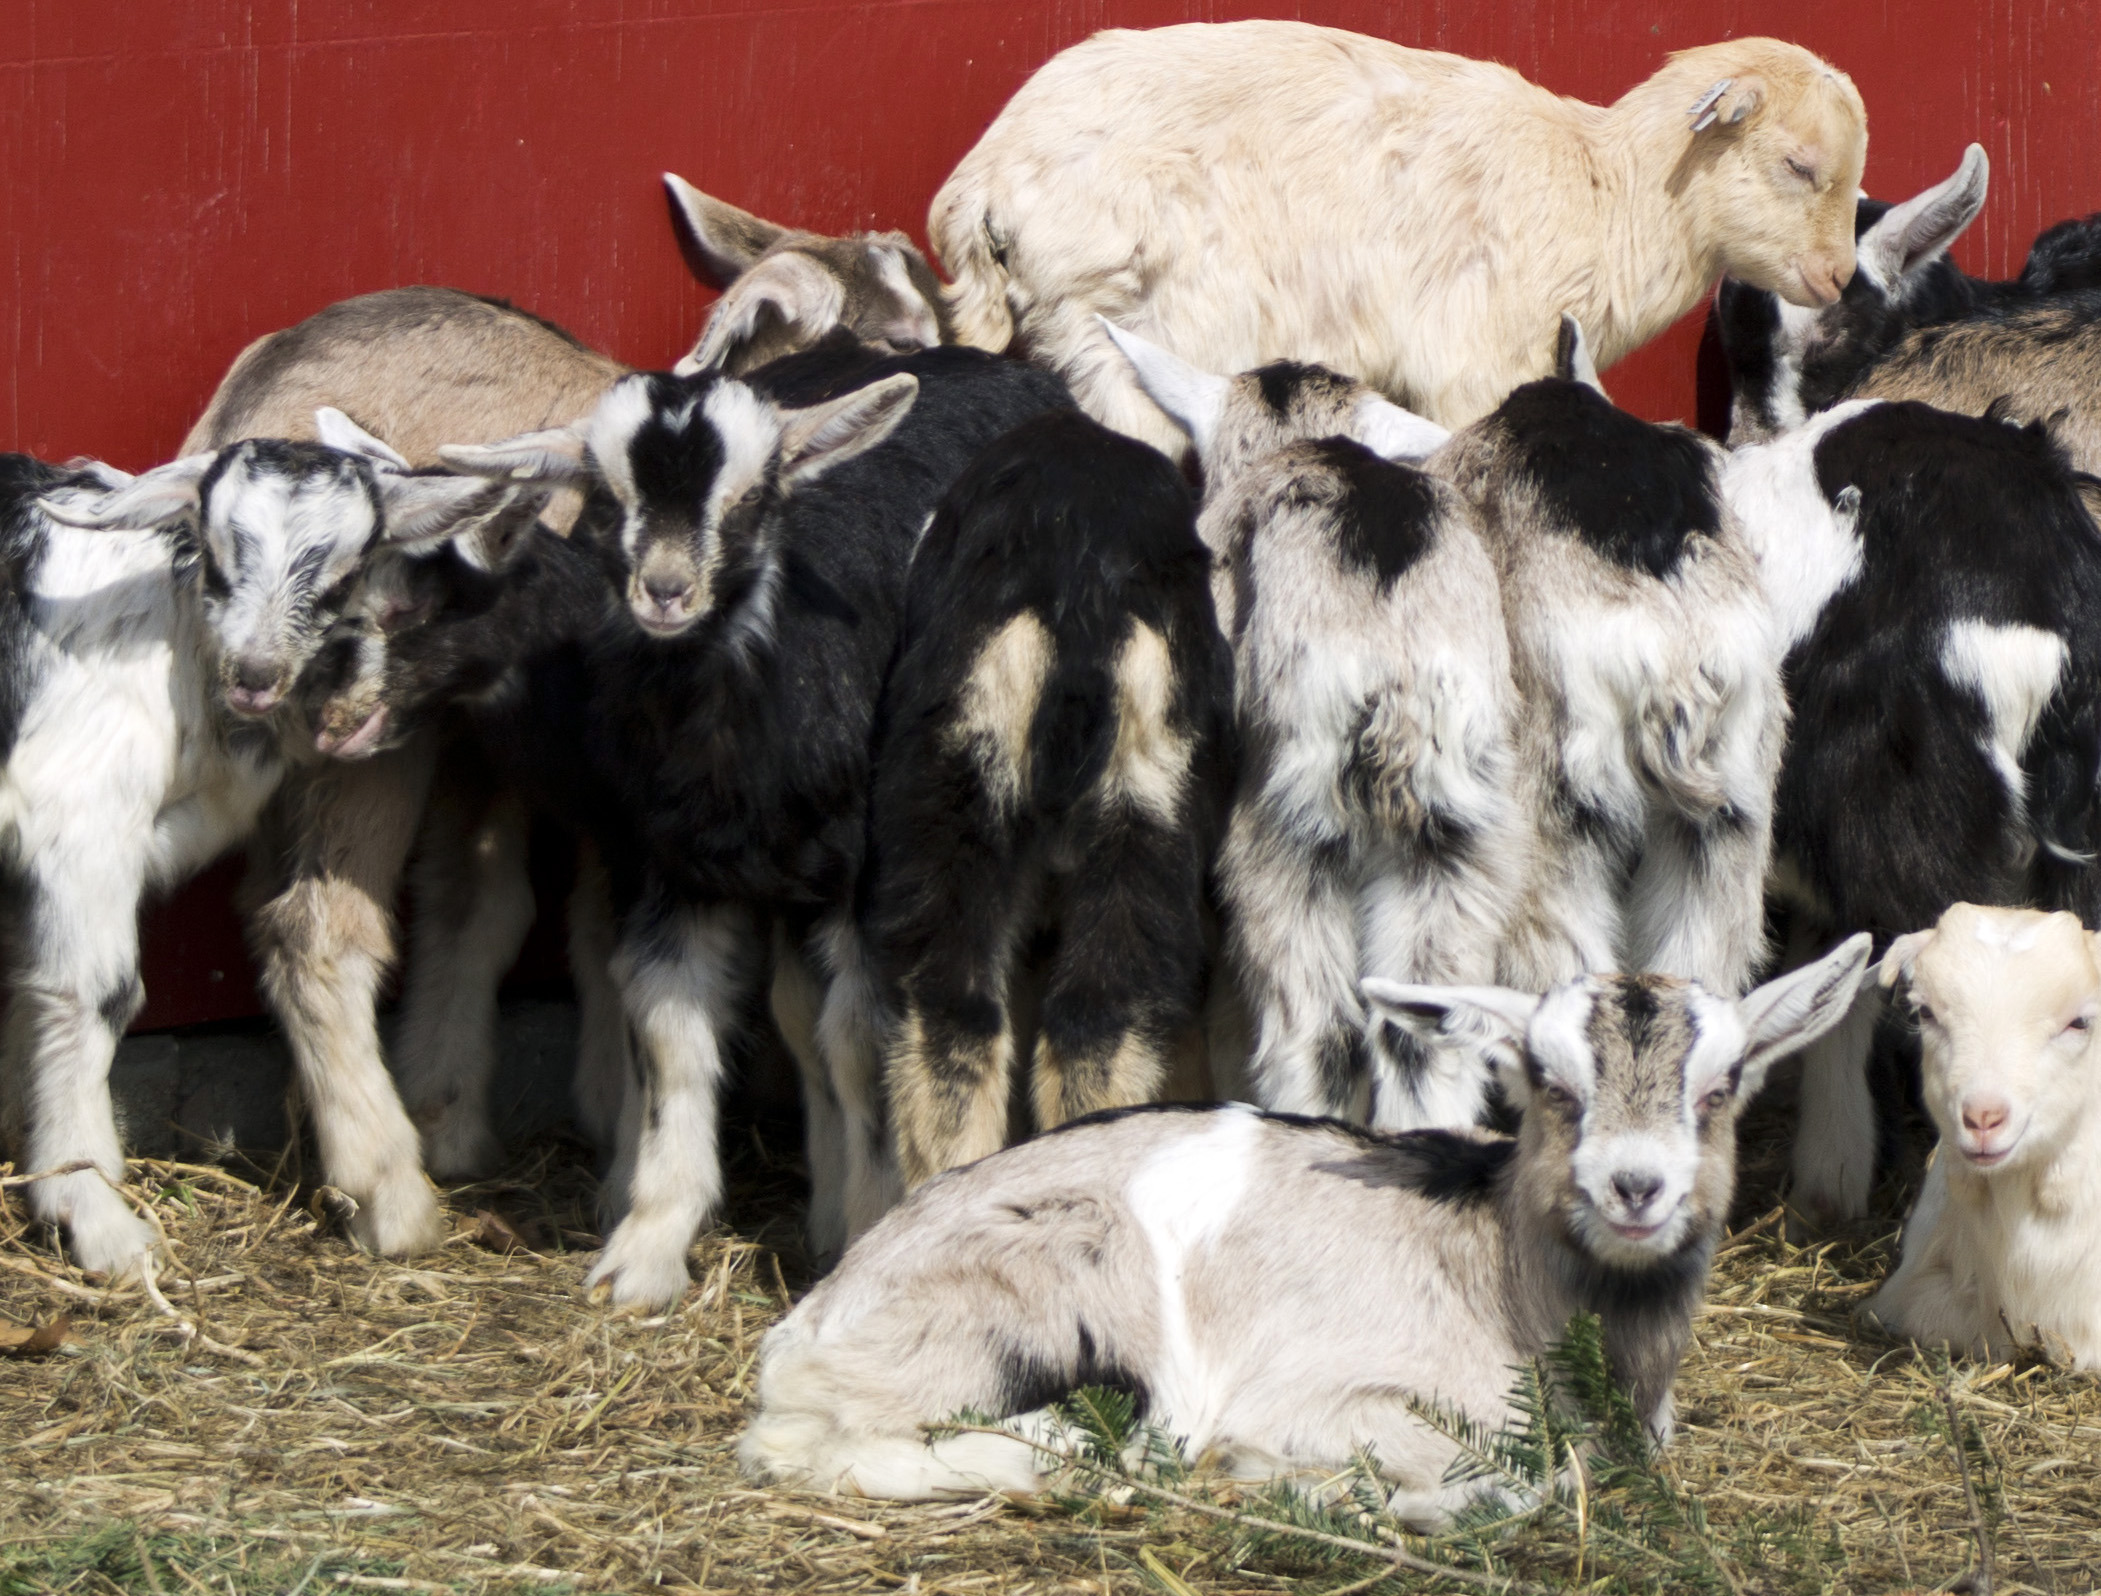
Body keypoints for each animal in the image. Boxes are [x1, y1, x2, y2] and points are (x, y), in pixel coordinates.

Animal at [9, 434, 512, 1274]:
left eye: (343, 570)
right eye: (219, 548)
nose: (255, 674)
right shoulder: (82, 820)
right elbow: (98, 993)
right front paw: (93, 1214)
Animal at [737, 937, 1870, 1523]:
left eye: (1722, 1084)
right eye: (1548, 1081)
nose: (1634, 1186)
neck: (1498, 1275)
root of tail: (809, 1322)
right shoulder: (1329, 1399)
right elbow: (1521, 1482)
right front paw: (1314, 1491)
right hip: (1035, 1300)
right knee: (812, 1445)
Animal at [931, 22, 1866, 454]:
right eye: (1797, 163)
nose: (1836, 278)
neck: (1605, 191)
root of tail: (981, 177)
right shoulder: (1476, 360)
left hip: (1077, 330)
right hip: (1126, 319)